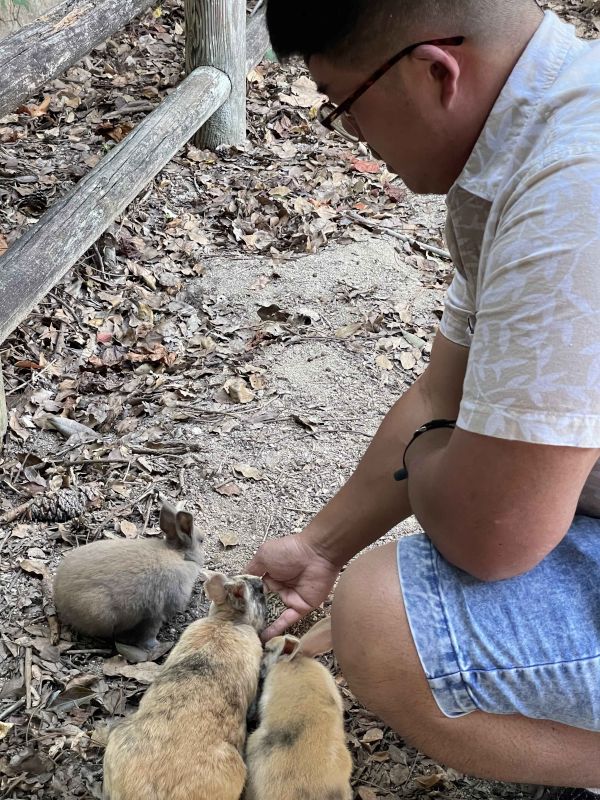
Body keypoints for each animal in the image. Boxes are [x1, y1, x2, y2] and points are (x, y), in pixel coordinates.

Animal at [54, 500, 204, 656]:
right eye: (201, 541)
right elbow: (150, 633)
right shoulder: (157, 614)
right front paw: (155, 646)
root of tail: (59, 600)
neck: (180, 555)